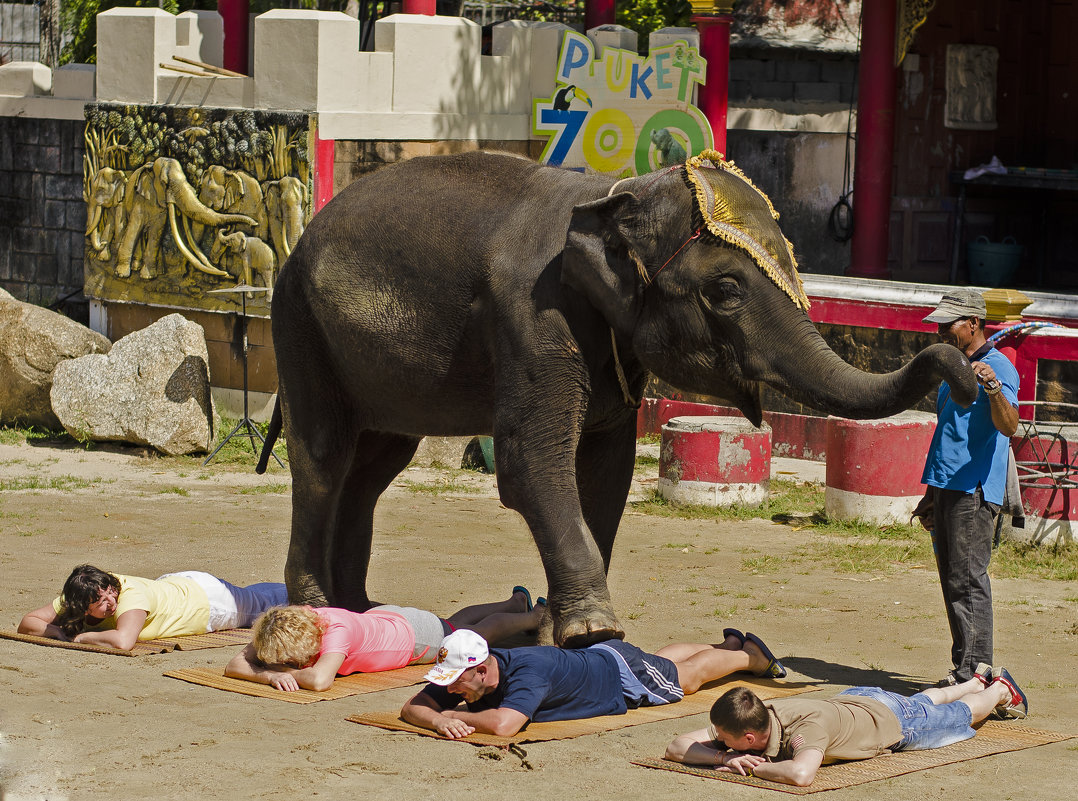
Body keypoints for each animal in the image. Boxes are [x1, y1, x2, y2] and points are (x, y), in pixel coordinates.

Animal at [114, 156, 257, 282]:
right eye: (165, 183)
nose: (254, 224)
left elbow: (156, 232)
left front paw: (148, 277)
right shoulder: (140, 198)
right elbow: (134, 227)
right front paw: (121, 275)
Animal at [254, 150, 978, 651]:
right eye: (726, 290)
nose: (971, 377)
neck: (613, 191)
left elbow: (607, 470)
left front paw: (561, 629)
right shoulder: (531, 317)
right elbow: (531, 463)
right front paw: (595, 632)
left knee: (376, 467)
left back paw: (362, 609)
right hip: (298, 324)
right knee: (324, 457)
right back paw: (319, 608)